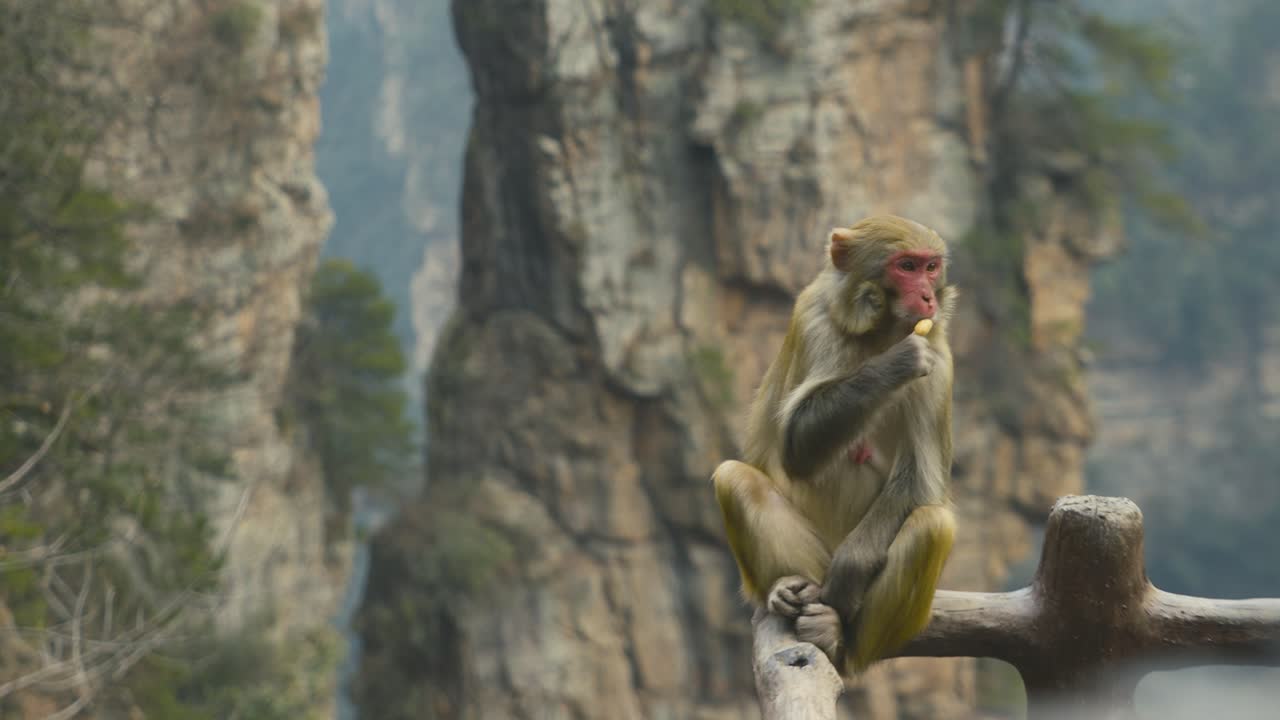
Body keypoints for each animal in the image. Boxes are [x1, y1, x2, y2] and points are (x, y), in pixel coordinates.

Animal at [712, 214, 957, 675]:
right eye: (906, 266)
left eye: (931, 267)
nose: (927, 297)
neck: (881, 333)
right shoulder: (813, 319)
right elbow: (796, 445)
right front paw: (894, 363)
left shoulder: (940, 357)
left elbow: (919, 479)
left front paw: (848, 573)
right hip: (809, 559)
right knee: (734, 478)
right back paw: (786, 590)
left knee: (933, 524)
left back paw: (837, 635)